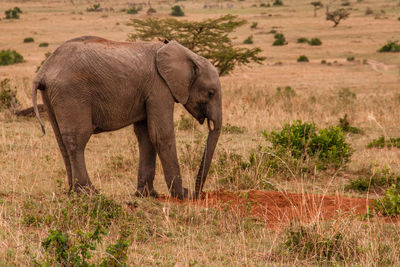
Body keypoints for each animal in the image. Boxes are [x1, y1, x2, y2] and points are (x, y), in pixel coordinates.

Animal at [32, 35, 222, 200]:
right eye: (211, 93)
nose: (197, 193)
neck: (188, 55)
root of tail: (43, 72)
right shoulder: (159, 87)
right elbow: (161, 134)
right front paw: (182, 195)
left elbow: (146, 136)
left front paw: (147, 195)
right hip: (71, 93)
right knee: (77, 139)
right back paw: (89, 193)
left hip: (52, 95)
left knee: (61, 140)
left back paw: (73, 192)